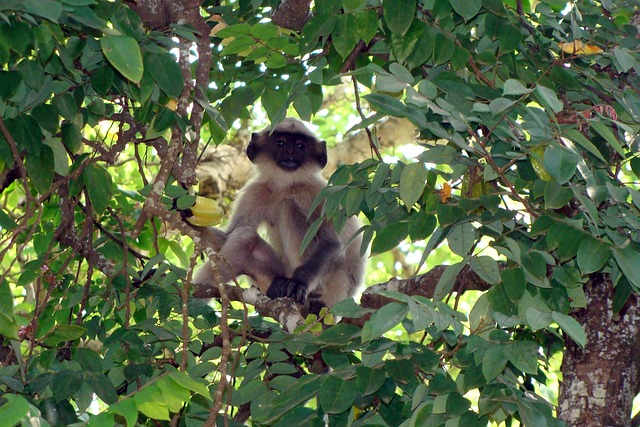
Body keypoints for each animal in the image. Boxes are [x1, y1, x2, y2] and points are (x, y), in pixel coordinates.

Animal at [194, 117, 364, 314]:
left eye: (299, 146)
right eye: (281, 143)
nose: (290, 152)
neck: (286, 186)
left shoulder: (317, 192)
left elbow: (331, 242)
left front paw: (298, 283)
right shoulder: (256, 191)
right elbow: (227, 237)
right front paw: (183, 212)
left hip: (331, 283)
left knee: (286, 207)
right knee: (245, 237)